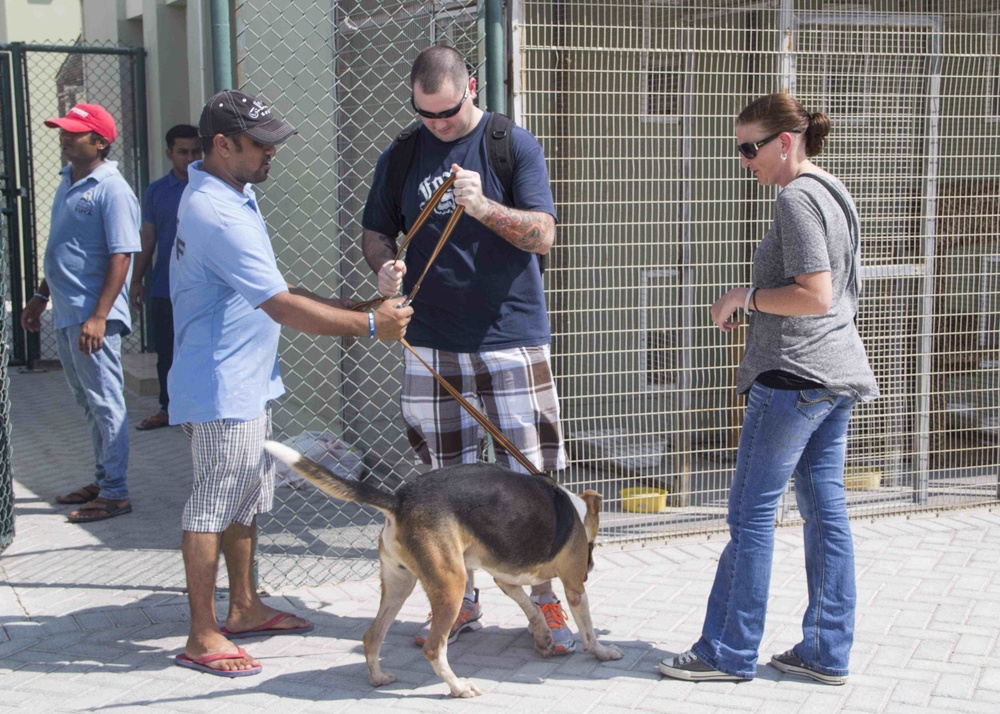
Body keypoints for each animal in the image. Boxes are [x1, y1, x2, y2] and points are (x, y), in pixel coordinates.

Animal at [262, 440, 620, 696]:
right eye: (590, 547)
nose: (590, 567)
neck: (575, 509)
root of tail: (400, 499)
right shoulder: (574, 587)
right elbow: (588, 630)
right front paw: (602, 651)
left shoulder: (505, 579)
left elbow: (531, 607)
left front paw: (544, 636)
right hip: (451, 585)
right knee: (434, 648)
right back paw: (459, 687)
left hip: (399, 584)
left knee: (372, 635)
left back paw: (378, 677)